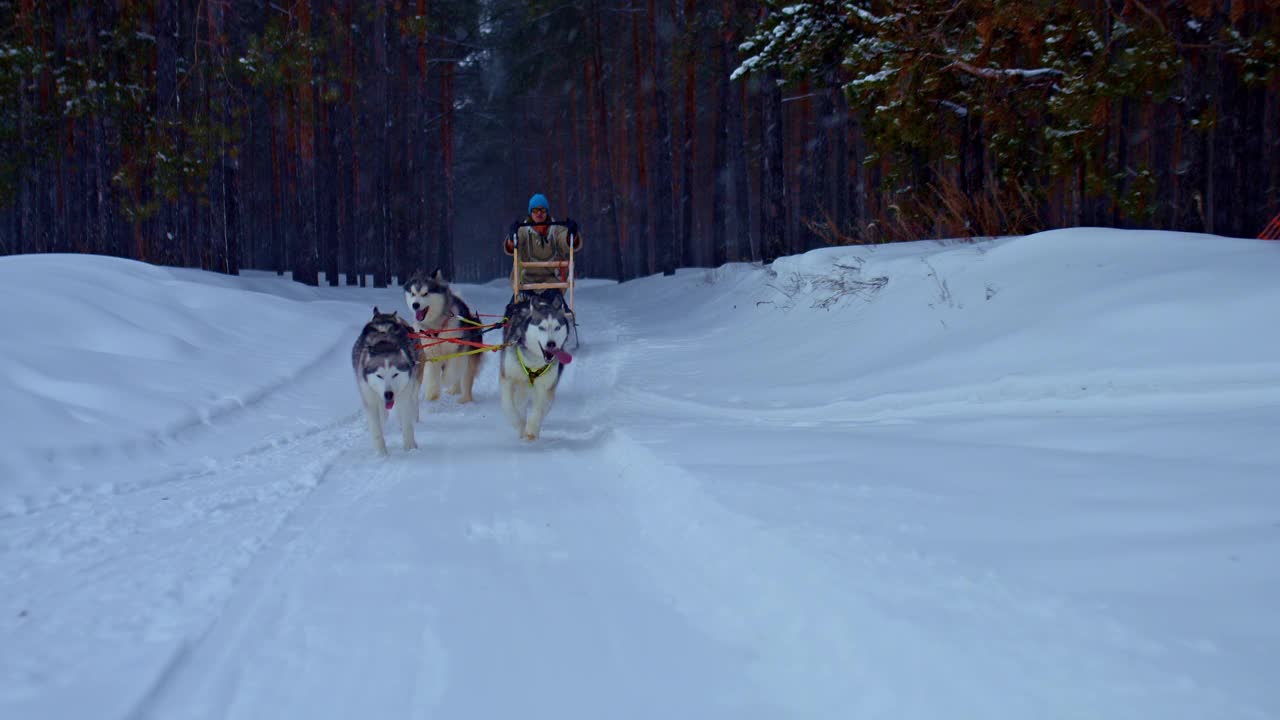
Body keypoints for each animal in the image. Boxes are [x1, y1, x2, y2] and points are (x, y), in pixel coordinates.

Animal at [401, 269, 481, 404]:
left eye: (425, 293)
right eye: (413, 293)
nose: (415, 305)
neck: (437, 325)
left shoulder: (457, 350)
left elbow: (452, 371)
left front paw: (444, 380)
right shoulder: (431, 352)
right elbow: (433, 375)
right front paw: (432, 396)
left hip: (469, 357)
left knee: (465, 376)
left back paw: (464, 398)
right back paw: (454, 390)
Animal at [499, 289, 576, 438]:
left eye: (557, 327)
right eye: (541, 328)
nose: (551, 344)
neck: (534, 361)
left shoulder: (546, 386)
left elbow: (540, 409)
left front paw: (532, 429)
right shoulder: (508, 379)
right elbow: (508, 404)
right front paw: (518, 423)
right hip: (520, 383)